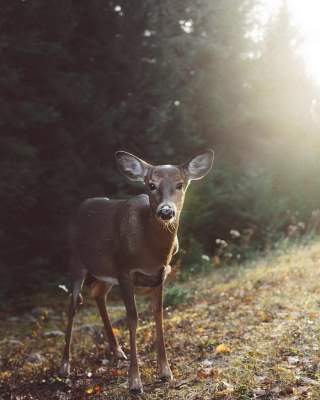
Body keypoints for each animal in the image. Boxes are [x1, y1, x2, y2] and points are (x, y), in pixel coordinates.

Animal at [58, 148, 214, 392]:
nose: (166, 211)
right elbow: (133, 318)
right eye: (151, 185)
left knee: (97, 292)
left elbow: (158, 314)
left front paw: (165, 371)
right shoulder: (124, 270)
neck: (150, 250)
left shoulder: (161, 273)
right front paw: (134, 381)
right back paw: (64, 366)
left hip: (105, 271)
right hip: (75, 259)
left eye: (180, 184)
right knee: (73, 302)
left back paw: (117, 351)